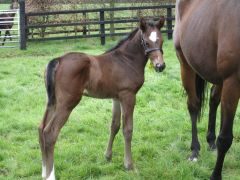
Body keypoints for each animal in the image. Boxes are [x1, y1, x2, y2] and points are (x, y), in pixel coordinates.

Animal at [39, 17, 165, 180]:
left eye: (161, 40)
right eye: (147, 43)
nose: (160, 66)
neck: (126, 60)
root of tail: (58, 60)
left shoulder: (116, 98)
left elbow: (114, 126)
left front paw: (107, 156)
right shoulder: (128, 96)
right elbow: (128, 129)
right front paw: (129, 165)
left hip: (52, 102)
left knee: (41, 128)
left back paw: (43, 171)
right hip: (67, 103)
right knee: (50, 132)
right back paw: (50, 175)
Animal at [174, 0, 240, 179]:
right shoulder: (233, 80)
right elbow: (225, 138)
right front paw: (215, 175)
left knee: (213, 100)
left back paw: (210, 141)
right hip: (186, 66)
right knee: (193, 105)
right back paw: (195, 150)